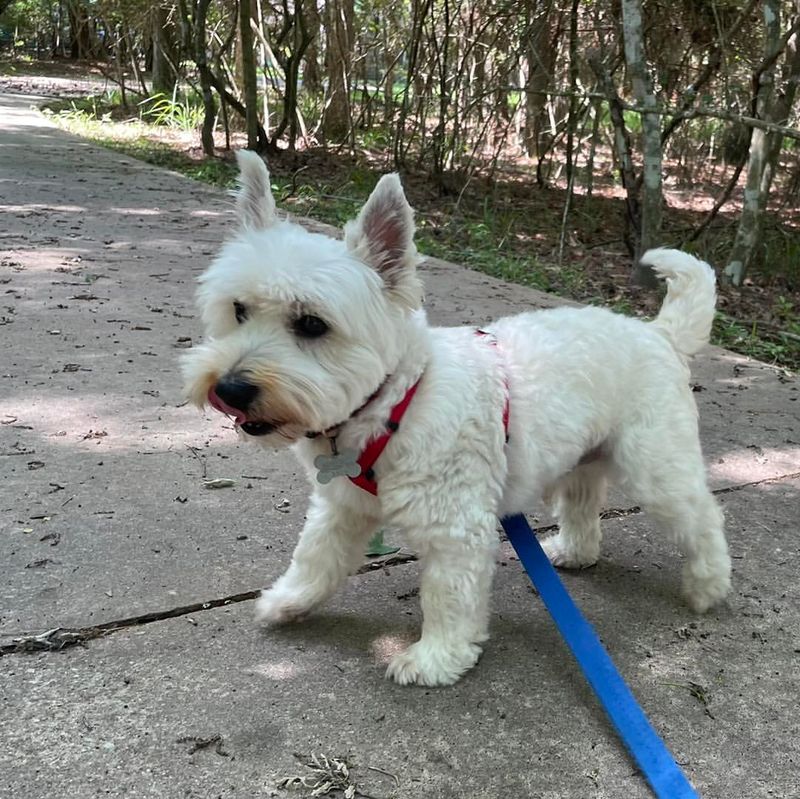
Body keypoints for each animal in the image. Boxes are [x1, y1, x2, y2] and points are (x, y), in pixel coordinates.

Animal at [181, 155, 732, 688]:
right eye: (238, 310)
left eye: (312, 324)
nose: (229, 389)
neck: (397, 403)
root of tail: (659, 334)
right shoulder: (340, 507)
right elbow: (316, 556)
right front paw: (290, 600)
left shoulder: (455, 528)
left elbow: (447, 596)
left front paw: (435, 659)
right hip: (582, 461)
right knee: (583, 505)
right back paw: (576, 552)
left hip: (656, 468)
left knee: (703, 518)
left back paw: (708, 585)